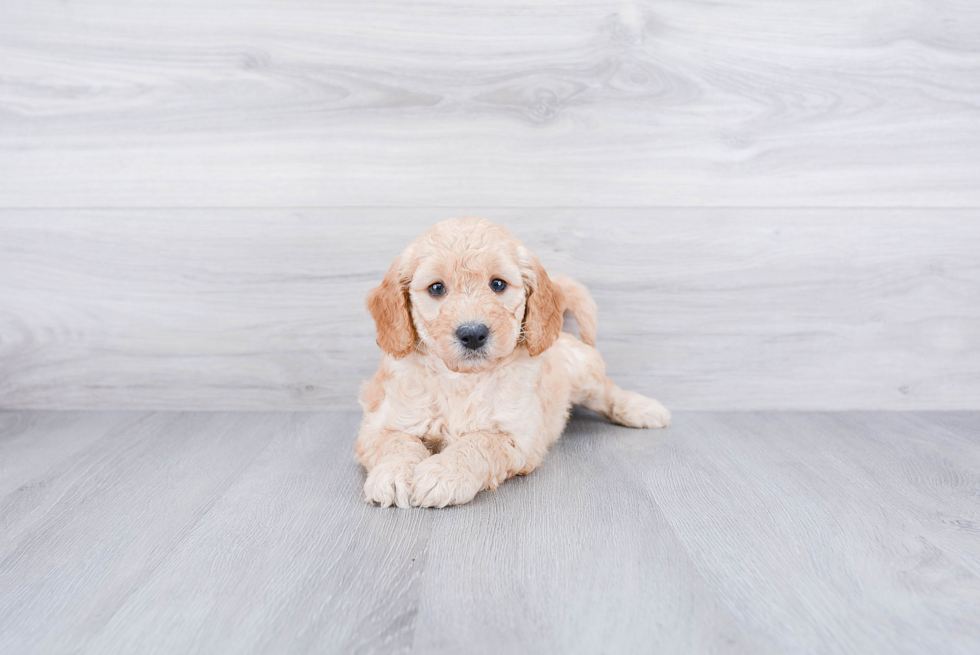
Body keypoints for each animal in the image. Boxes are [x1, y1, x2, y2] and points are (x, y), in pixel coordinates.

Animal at [356, 218, 668, 510]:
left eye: (497, 284)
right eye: (436, 288)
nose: (473, 334)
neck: (463, 380)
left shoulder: (517, 437)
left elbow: (479, 442)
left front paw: (443, 474)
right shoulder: (381, 424)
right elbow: (395, 442)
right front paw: (393, 474)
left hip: (582, 372)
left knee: (607, 389)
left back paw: (643, 409)